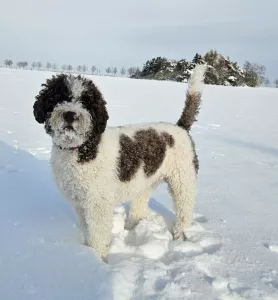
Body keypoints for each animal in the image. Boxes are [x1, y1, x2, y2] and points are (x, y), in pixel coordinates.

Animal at [32, 63, 206, 260]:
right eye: (59, 97)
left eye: (86, 101)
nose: (70, 114)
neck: (83, 149)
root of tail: (180, 127)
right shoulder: (80, 204)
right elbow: (87, 230)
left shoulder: (97, 204)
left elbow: (98, 236)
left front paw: (97, 259)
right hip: (146, 182)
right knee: (140, 206)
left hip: (182, 180)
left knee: (185, 210)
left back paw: (179, 236)